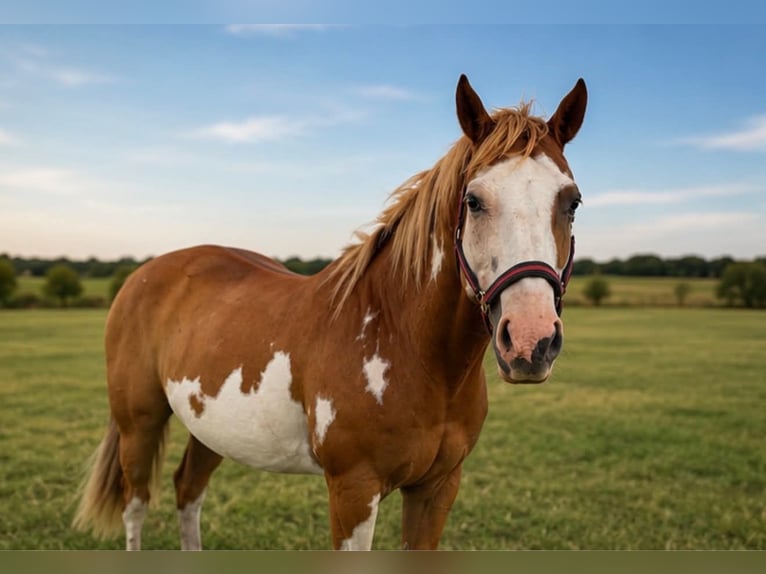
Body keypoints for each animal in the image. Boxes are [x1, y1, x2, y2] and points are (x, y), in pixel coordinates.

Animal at [72, 74, 587, 550]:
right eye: (474, 201)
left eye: (572, 202)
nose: (531, 341)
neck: (405, 343)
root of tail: (143, 275)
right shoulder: (353, 491)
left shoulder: (437, 487)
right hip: (138, 423)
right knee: (136, 505)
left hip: (210, 429)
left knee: (188, 491)